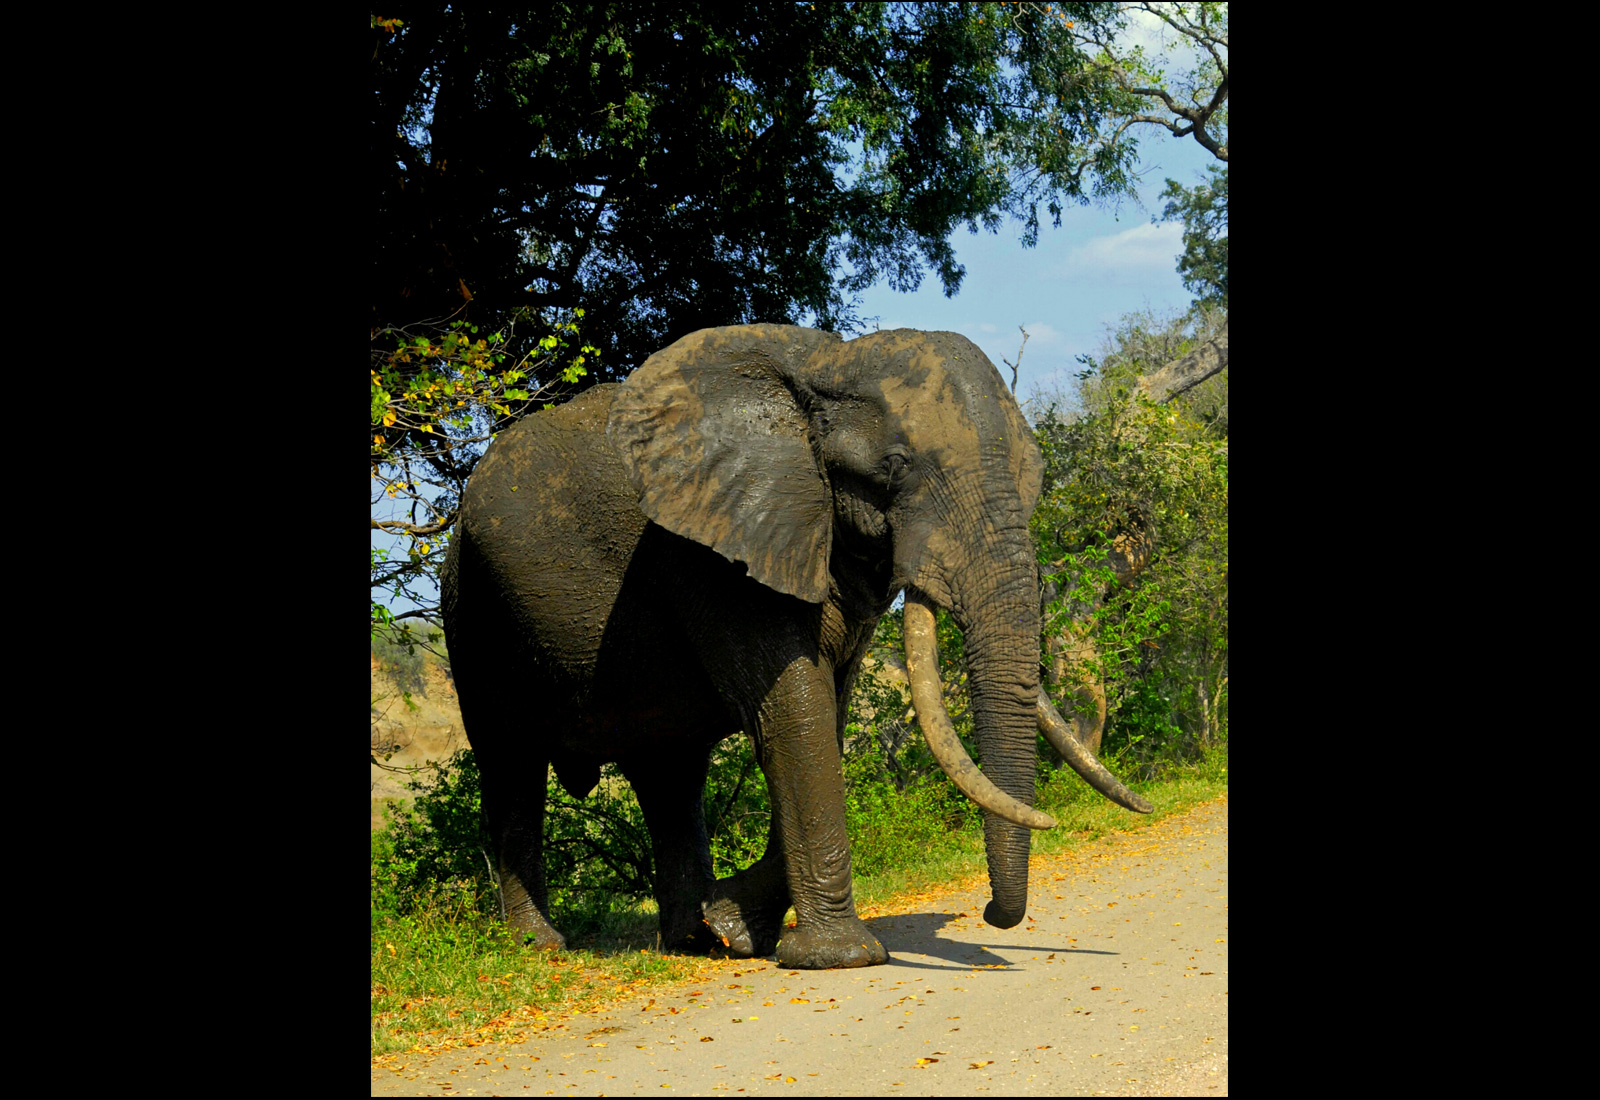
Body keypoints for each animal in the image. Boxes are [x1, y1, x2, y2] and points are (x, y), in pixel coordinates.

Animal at [441, 322, 1152, 965]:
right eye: (893, 469)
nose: (987, 913)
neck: (826, 366)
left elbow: (824, 714)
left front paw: (733, 925)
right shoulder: (711, 552)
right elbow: (794, 712)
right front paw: (839, 958)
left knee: (669, 773)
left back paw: (689, 941)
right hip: (471, 610)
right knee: (512, 767)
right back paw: (540, 947)